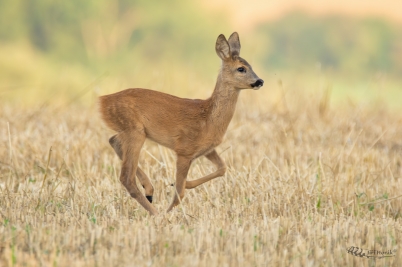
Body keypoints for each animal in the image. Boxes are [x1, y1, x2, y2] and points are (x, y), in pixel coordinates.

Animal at [99, 31, 264, 216]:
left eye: (250, 66)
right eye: (241, 68)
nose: (260, 81)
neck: (208, 118)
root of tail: (102, 101)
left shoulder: (206, 149)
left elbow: (223, 168)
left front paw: (184, 184)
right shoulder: (184, 149)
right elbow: (180, 192)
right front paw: (169, 210)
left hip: (131, 131)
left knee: (113, 141)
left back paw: (150, 191)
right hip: (135, 130)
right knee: (126, 176)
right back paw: (157, 213)